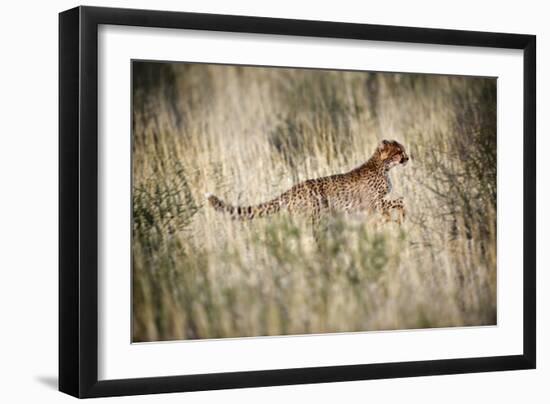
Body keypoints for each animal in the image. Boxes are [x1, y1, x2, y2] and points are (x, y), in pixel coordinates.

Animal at [206, 140, 410, 224]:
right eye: (399, 152)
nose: (408, 158)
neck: (383, 166)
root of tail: (292, 189)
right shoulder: (373, 202)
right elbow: (399, 201)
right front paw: (398, 218)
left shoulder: (371, 206)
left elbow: (396, 203)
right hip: (314, 216)